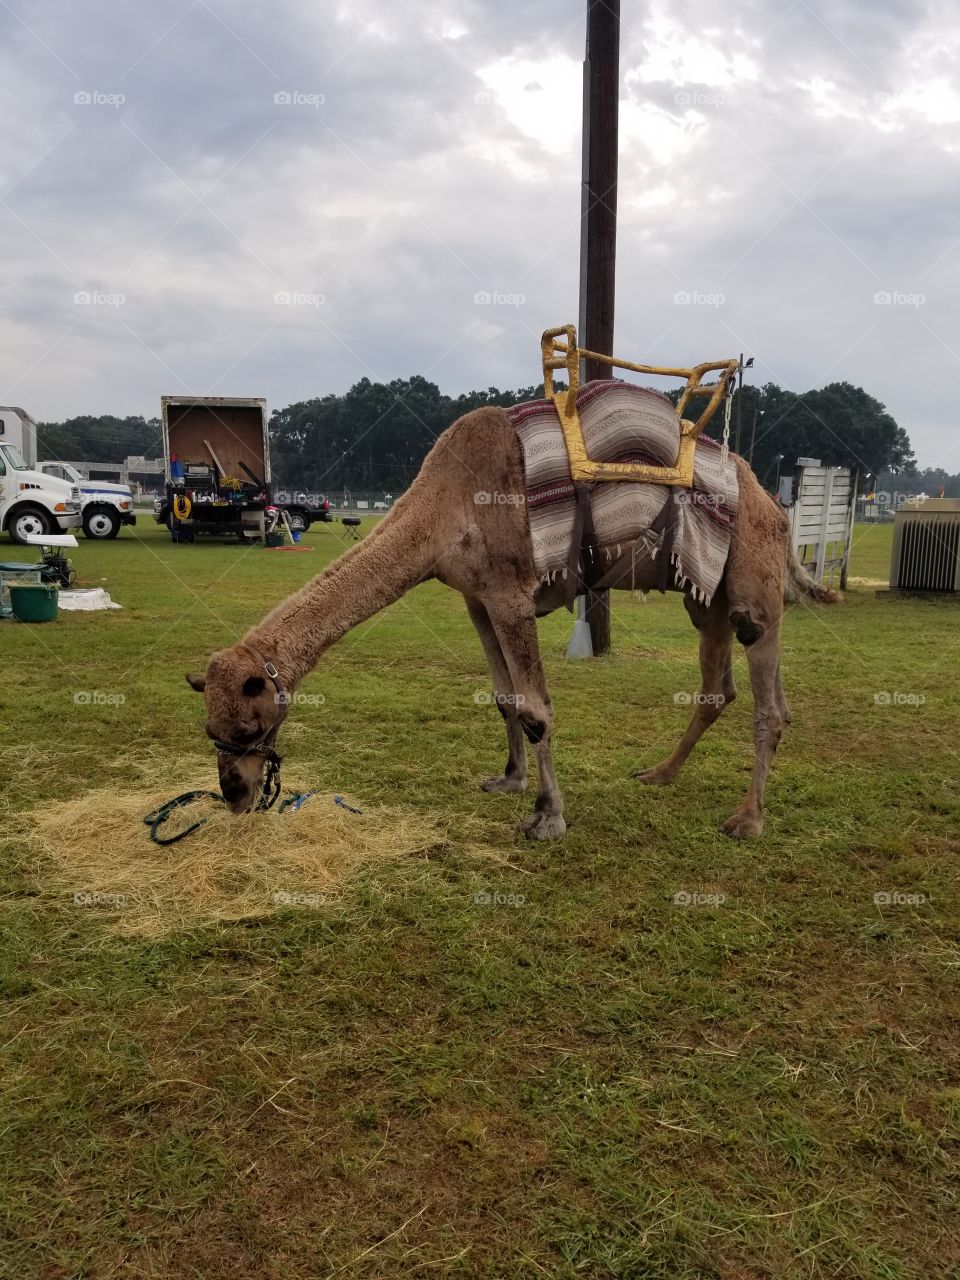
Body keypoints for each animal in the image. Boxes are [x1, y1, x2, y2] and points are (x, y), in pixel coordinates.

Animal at [187, 405, 839, 839]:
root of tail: (776, 507)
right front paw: (508, 781)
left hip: (753, 590)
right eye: (210, 728)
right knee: (717, 689)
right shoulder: (477, 598)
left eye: (249, 724)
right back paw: (658, 774)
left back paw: (746, 819)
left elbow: (536, 707)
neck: (442, 506)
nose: (235, 793)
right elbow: (504, 697)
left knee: (769, 704)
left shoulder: (511, 594)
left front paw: (548, 818)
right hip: (706, 599)